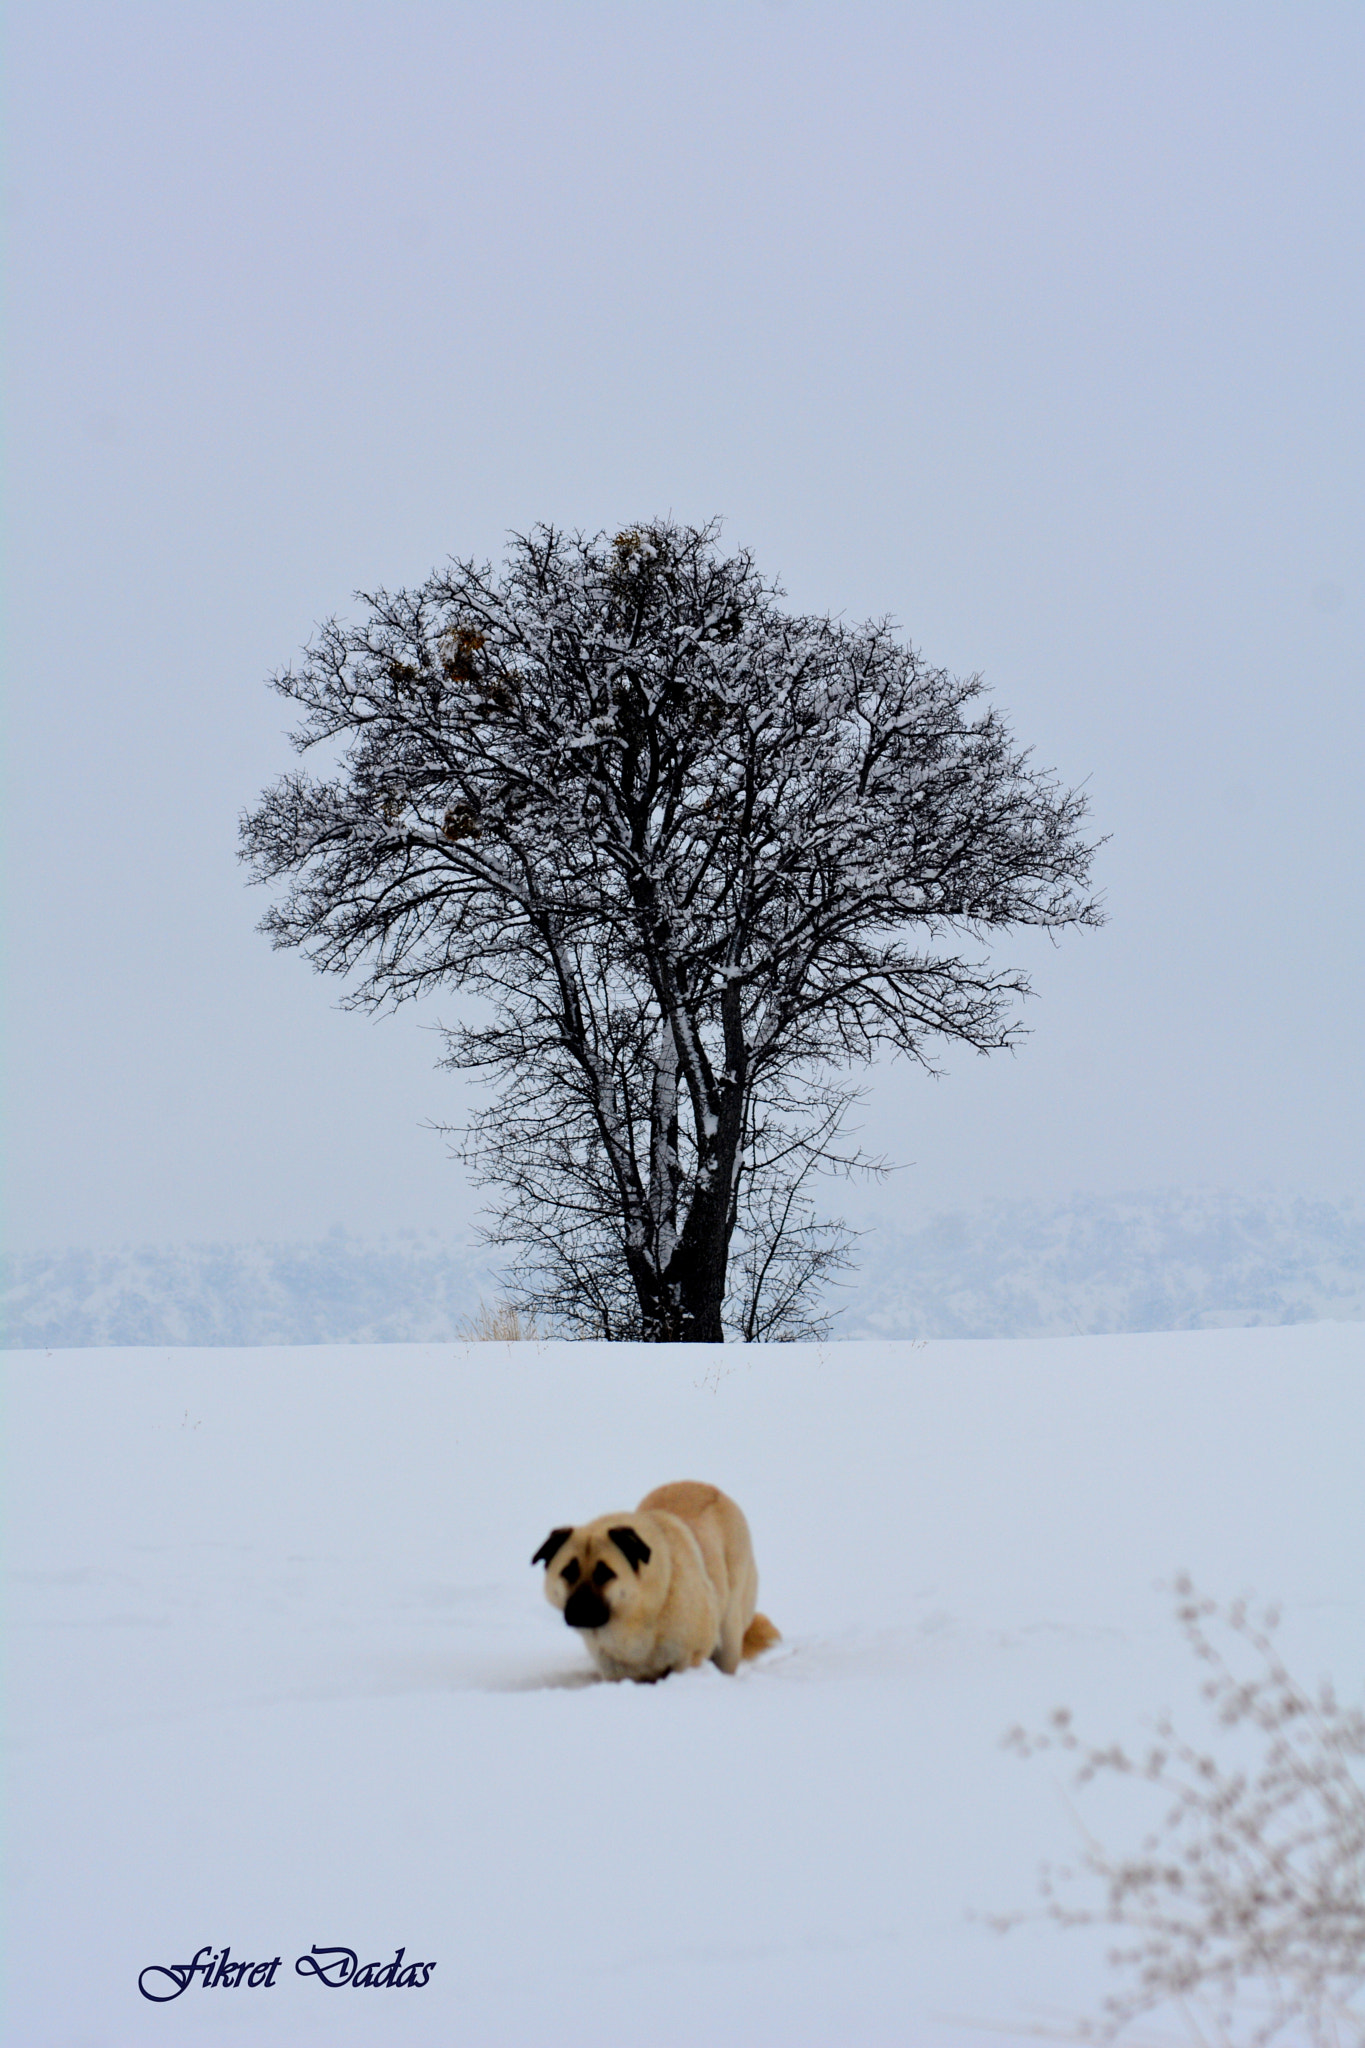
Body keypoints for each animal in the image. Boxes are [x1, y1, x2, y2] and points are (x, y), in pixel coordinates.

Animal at [540, 1482, 785, 1687]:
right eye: (568, 1572)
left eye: (604, 1573)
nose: (579, 1609)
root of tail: (711, 1488)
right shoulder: (614, 1670)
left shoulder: (688, 1658)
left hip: (729, 1633)